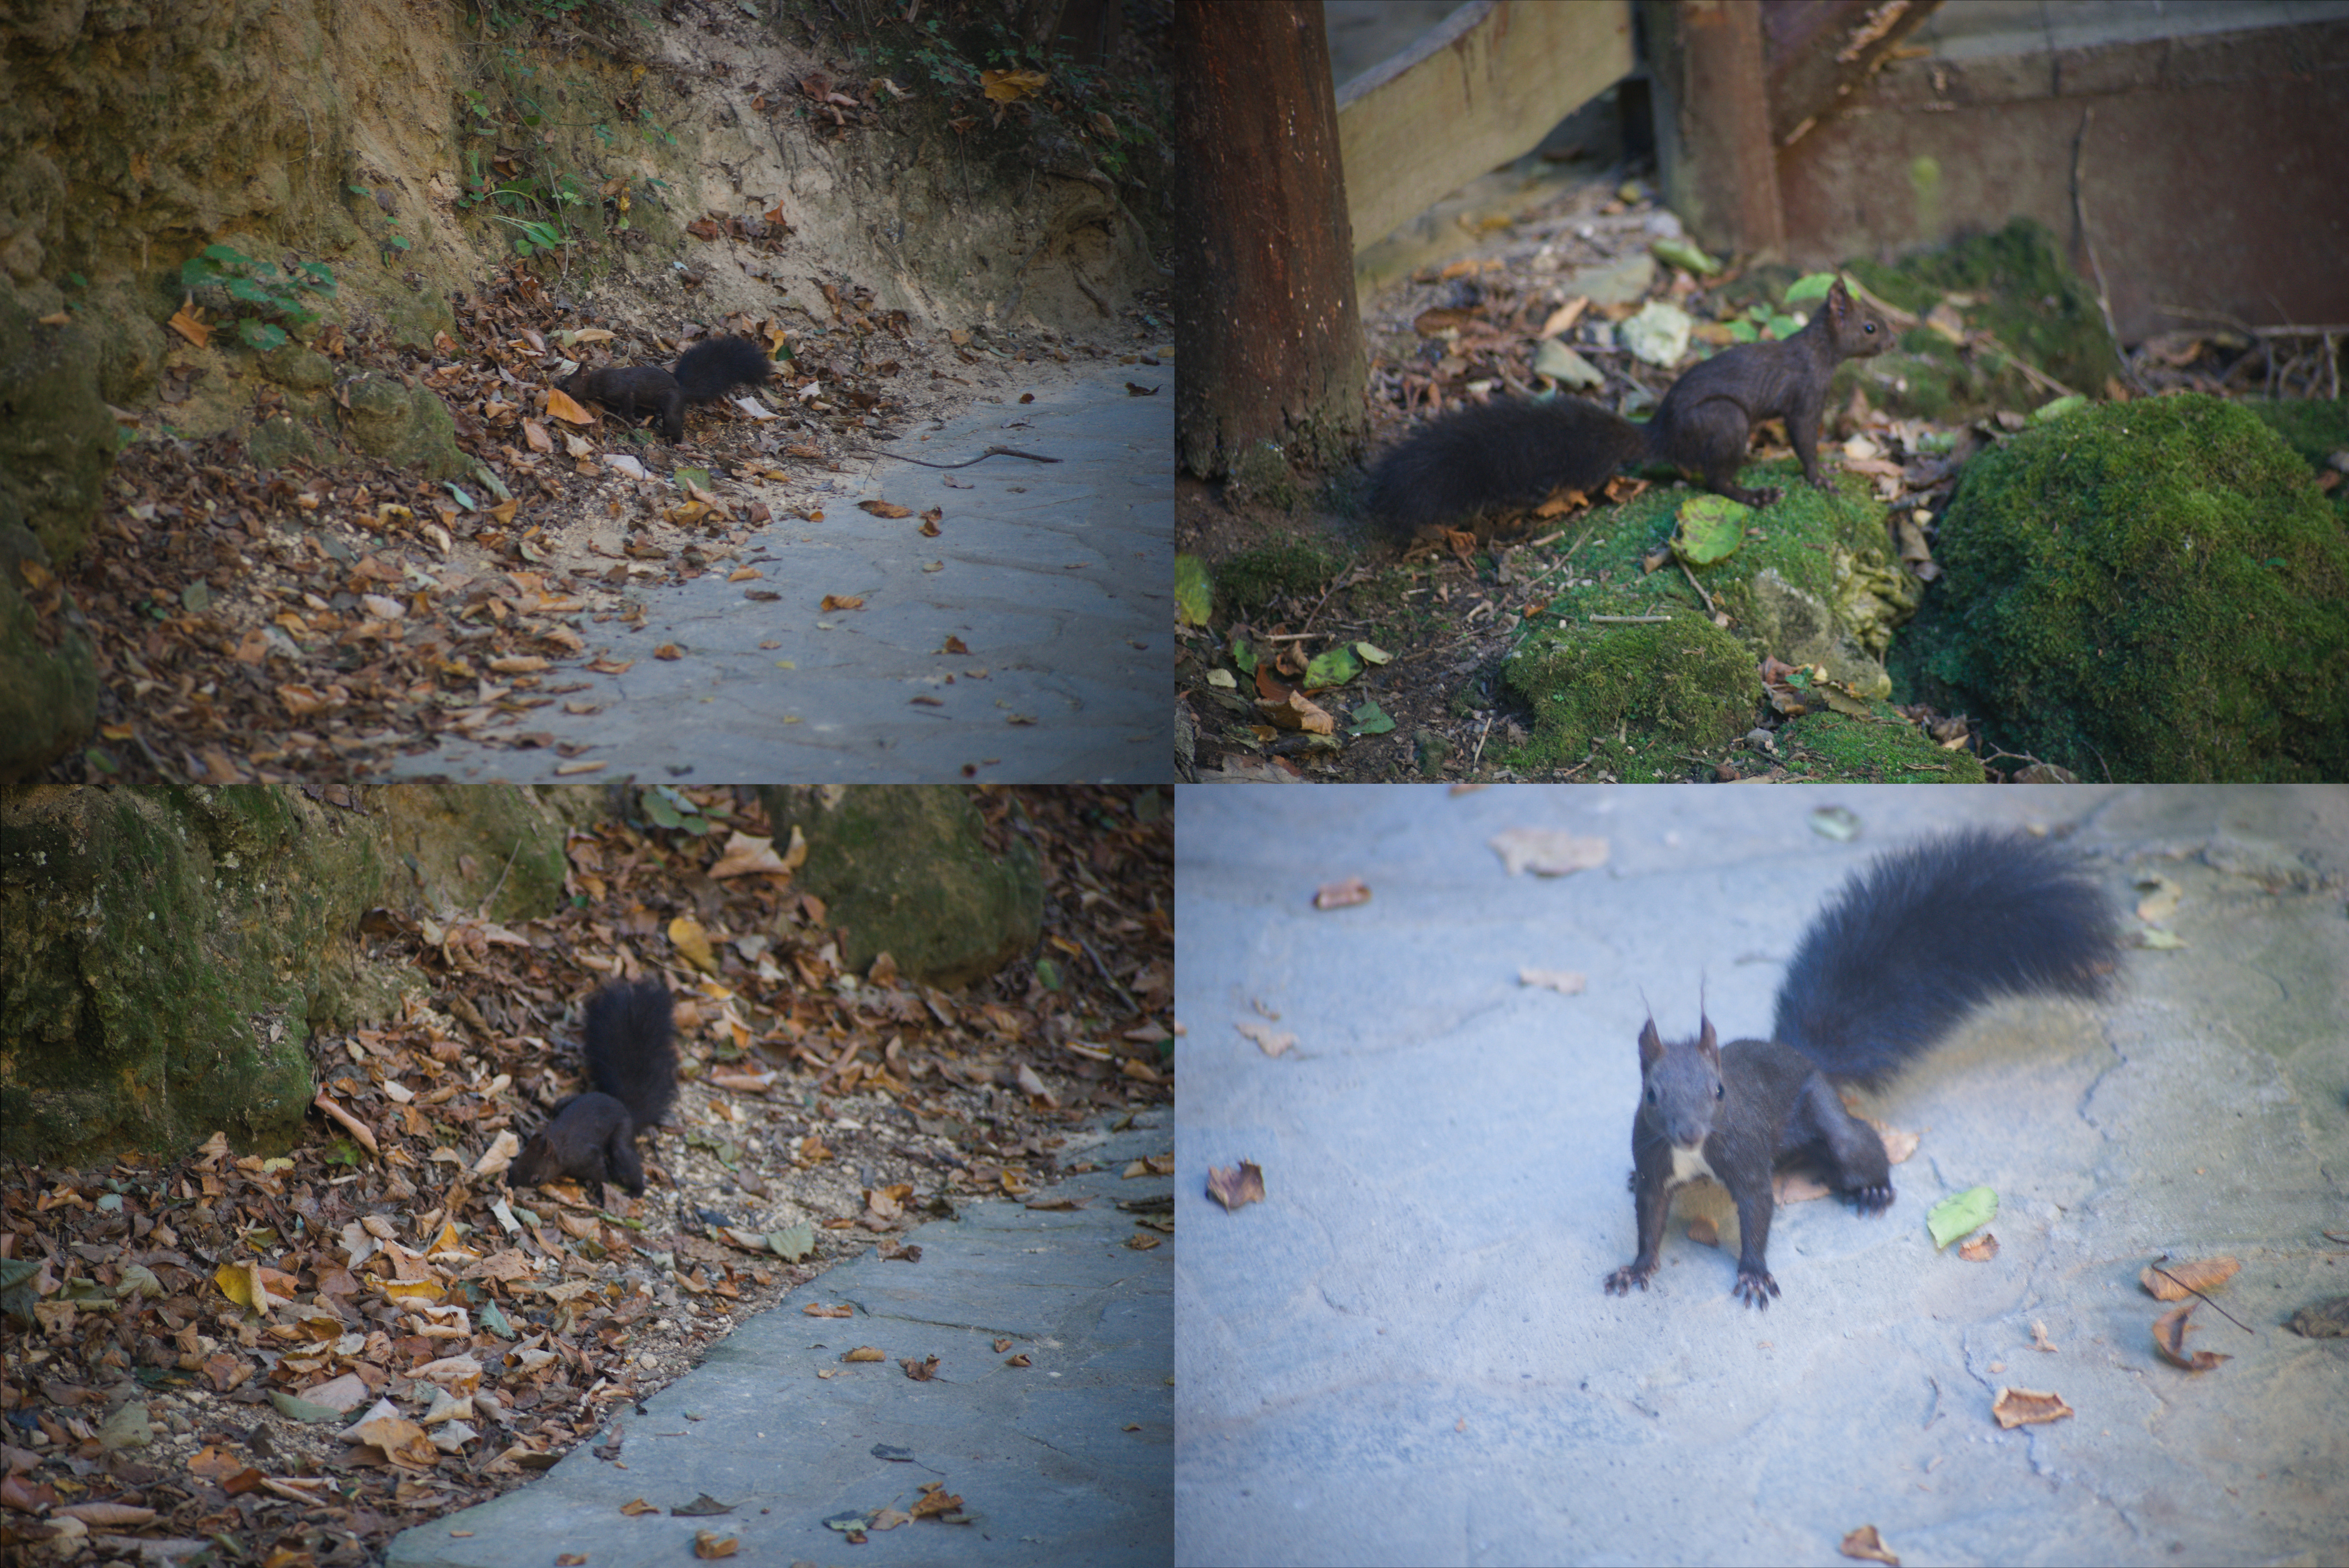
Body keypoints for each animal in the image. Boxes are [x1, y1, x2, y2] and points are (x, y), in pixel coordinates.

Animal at [503, 981, 672, 1202]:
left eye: (536, 1179)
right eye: (516, 1162)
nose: (511, 1184)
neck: (558, 1145)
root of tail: (624, 1107)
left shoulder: (585, 1158)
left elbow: (601, 1174)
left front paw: (600, 1193)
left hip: (622, 1133)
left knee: (623, 1155)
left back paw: (636, 1191)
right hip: (564, 1103)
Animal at [559, 336, 770, 441]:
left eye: (568, 388)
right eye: (563, 379)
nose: (557, 390)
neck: (596, 381)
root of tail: (682, 391)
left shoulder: (622, 391)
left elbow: (628, 406)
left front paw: (632, 421)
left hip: (671, 404)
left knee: (673, 423)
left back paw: (673, 440)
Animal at [1372, 276, 1888, 533]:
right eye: (1870, 327)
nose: (1894, 340)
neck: (1819, 352)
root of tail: (1661, 431)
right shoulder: (1804, 397)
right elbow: (1804, 440)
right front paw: (1821, 478)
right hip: (1724, 420)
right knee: (1716, 480)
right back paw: (1754, 494)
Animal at [1607, 831, 2123, 1314]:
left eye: (1719, 1091)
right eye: (1651, 1095)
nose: (1691, 1133)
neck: (1692, 1155)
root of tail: (1801, 1055)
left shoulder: (1746, 1156)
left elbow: (1756, 1209)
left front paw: (1753, 1274)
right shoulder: (1654, 1162)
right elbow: (1649, 1216)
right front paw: (1636, 1268)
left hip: (1823, 1112)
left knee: (1856, 1143)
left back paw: (1875, 1191)